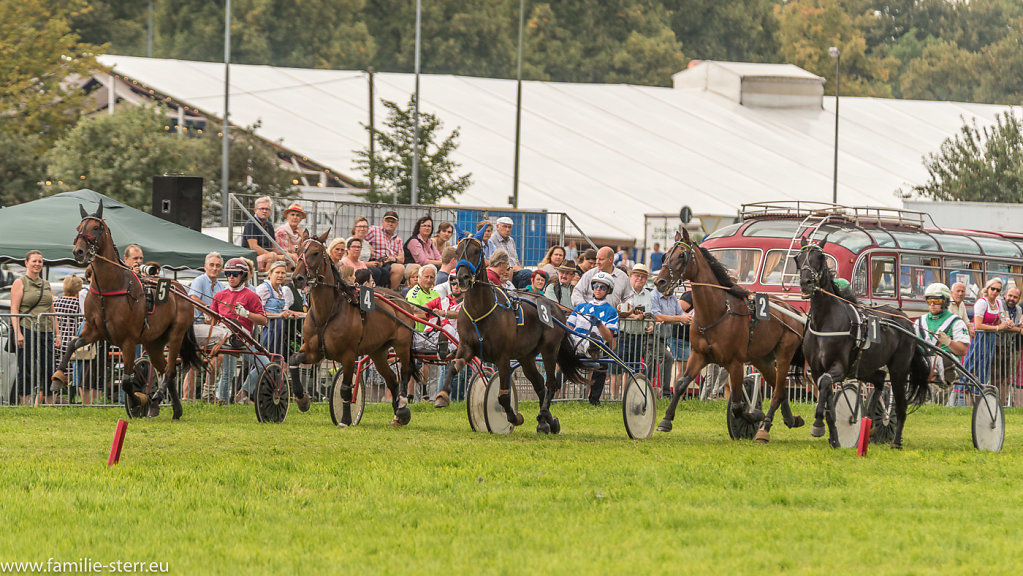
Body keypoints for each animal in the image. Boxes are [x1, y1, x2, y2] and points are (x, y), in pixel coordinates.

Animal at [52, 203, 203, 419]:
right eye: (78, 227)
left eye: (95, 228)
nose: (79, 252)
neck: (109, 289)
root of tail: (181, 290)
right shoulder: (94, 331)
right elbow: (72, 344)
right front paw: (57, 377)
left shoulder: (129, 341)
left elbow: (125, 381)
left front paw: (137, 401)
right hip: (153, 342)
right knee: (165, 369)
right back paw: (175, 409)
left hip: (176, 335)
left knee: (169, 371)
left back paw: (156, 398)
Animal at [288, 231, 419, 427]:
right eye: (298, 250)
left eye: (316, 253)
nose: (297, 278)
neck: (327, 313)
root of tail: (400, 299)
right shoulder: (314, 351)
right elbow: (293, 359)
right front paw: (302, 399)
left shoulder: (348, 356)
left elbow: (345, 389)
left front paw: (345, 419)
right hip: (378, 351)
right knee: (392, 380)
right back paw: (398, 415)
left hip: (401, 344)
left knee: (404, 373)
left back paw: (402, 408)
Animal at [437, 234, 585, 433]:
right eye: (457, 252)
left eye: (476, 251)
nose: (462, 278)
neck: (479, 311)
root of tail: (556, 308)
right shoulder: (466, 347)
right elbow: (454, 366)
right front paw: (442, 396)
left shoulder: (503, 357)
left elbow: (503, 396)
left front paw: (514, 417)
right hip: (526, 357)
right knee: (539, 385)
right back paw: (546, 420)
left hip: (549, 351)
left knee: (551, 384)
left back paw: (545, 416)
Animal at [654, 228, 806, 444]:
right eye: (665, 255)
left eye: (682, 255)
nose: (660, 282)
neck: (716, 312)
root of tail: (791, 310)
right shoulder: (698, 355)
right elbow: (681, 383)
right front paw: (666, 420)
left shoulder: (735, 363)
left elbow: (737, 405)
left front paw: (754, 415)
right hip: (761, 359)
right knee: (781, 388)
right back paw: (791, 419)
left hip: (784, 354)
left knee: (777, 392)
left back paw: (764, 428)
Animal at [793, 239, 932, 450]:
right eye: (798, 258)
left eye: (820, 257)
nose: (806, 283)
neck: (825, 321)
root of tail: (906, 321)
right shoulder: (816, 370)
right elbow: (827, 402)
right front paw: (834, 438)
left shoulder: (839, 368)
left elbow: (825, 383)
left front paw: (817, 425)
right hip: (864, 367)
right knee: (880, 379)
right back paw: (869, 420)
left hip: (899, 370)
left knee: (901, 405)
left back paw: (896, 441)